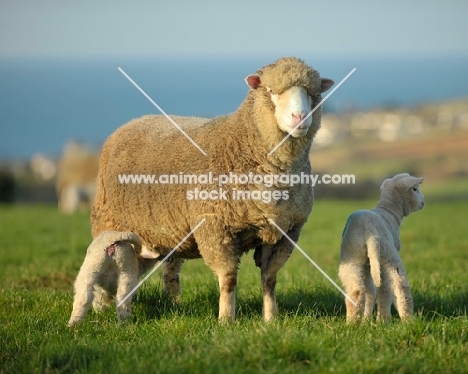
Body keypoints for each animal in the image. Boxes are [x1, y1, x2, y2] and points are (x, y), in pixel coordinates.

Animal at [90, 56, 332, 322]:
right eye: (271, 91)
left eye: (312, 93)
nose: (300, 117)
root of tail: (133, 122)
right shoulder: (214, 228)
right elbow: (228, 279)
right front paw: (226, 319)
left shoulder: (286, 231)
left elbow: (269, 279)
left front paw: (270, 319)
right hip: (109, 222)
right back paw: (100, 309)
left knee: (167, 268)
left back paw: (170, 303)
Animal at [338, 174, 426, 322]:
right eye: (415, 189)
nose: (423, 203)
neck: (389, 212)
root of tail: (368, 228)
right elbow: (384, 290)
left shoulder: (368, 264)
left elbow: (370, 291)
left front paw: (366, 319)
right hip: (387, 254)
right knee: (398, 285)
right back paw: (401, 319)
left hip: (352, 256)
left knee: (356, 290)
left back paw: (352, 323)